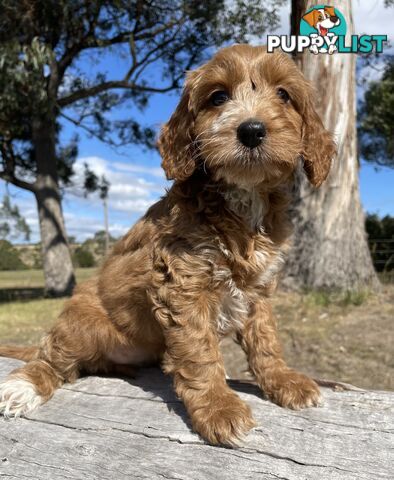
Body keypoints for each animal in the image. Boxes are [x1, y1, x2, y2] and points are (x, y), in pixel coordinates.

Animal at [0, 45, 336, 446]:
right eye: (218, 97)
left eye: (284, 95)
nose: (252, 130)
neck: (242, 197)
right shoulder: (182, 285)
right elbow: (200, 353)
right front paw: (219, 407)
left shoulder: (258, 290)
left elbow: (265, 340)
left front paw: (283, 380)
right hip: (81, 323)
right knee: (53, 360)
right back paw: (23, 387)